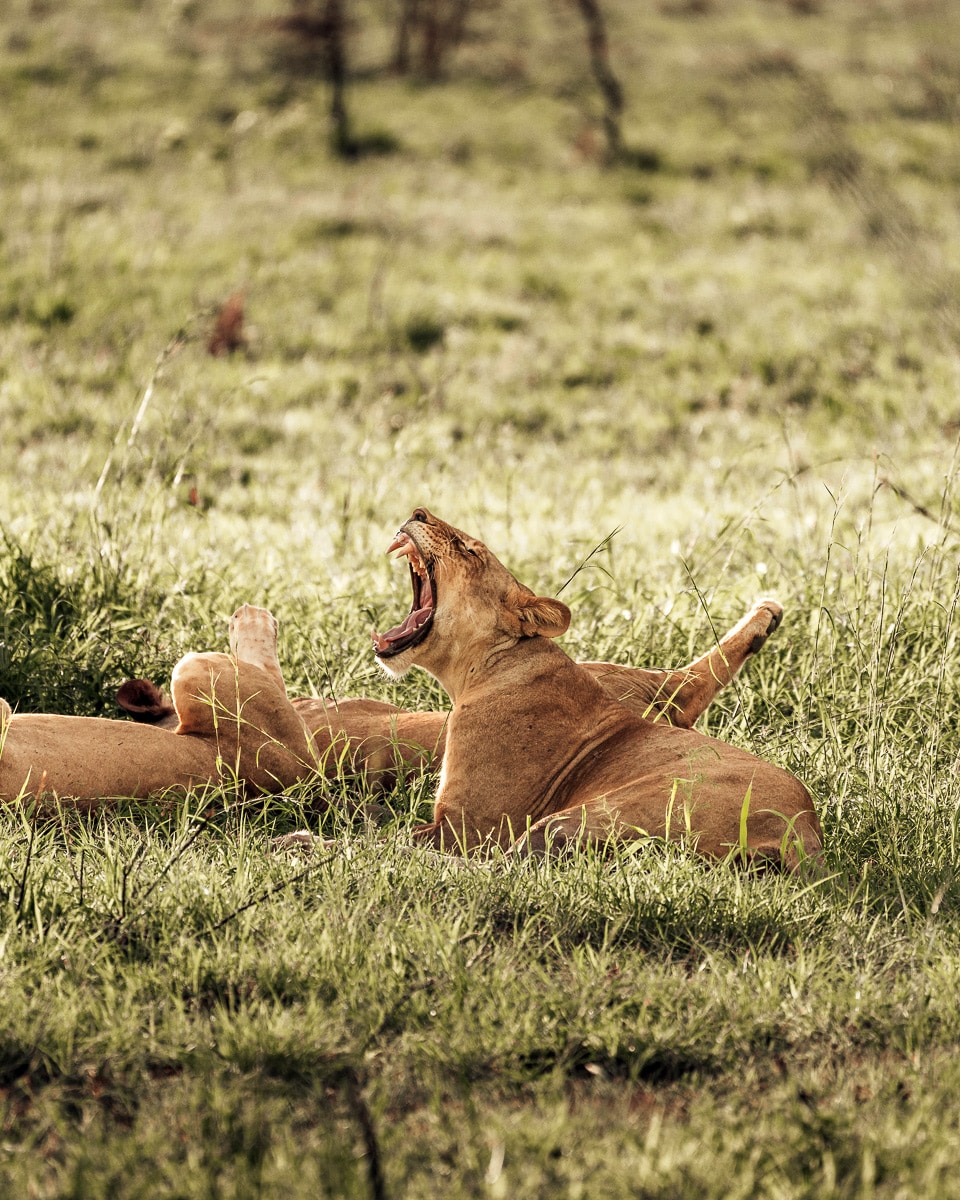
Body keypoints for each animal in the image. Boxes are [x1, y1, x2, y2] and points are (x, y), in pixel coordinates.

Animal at [372, 507, 822, 869]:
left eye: (469, 550)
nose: (418, 512)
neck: (482, 669)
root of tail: (803, 835)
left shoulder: (469, 827)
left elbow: (399, 833)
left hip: (588, 814)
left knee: (509, 866)